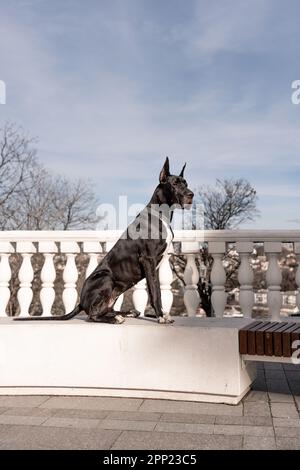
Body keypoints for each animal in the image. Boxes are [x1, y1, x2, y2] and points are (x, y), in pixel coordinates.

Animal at [15, 158, 195, 324]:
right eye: (174, 184)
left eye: (186, 183)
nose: (191, 195)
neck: (161, 214)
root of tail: (81, 302)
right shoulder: (148, 259)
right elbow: (155, 293)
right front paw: (160, 316)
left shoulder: (154, 266)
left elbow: (156, 289)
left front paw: (162, 314)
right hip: (106, 278)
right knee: (93, 315)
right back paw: (116, 318)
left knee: (106, 309)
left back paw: (127, 313)